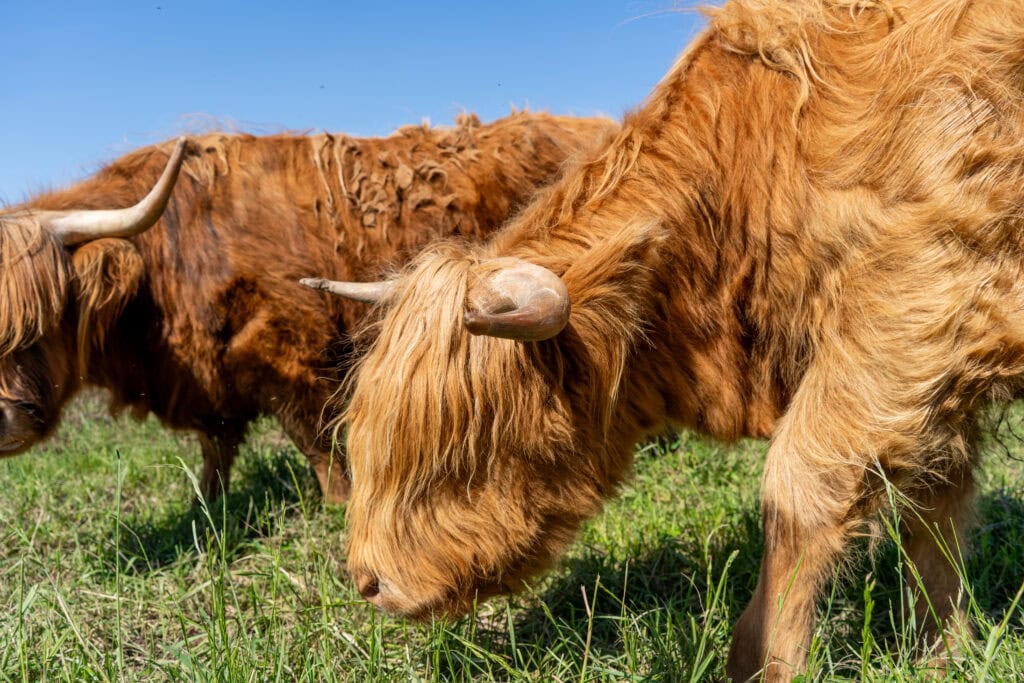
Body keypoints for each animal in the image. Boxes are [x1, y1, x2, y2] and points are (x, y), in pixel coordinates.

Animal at [0, 112, 616, 503]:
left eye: (37, 327)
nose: (3, 420)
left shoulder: (287, 350)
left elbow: (314, 440)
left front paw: (337, 502)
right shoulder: (211, 377)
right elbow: (215, 451)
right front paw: (207, 509)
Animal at [310, 0, 1024, 679]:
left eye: (460, 456)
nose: (367, 581)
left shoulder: (919, 302)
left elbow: (801, 490)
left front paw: (763, 663)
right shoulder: (931, 373)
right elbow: (935, 512)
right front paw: (943, 654)